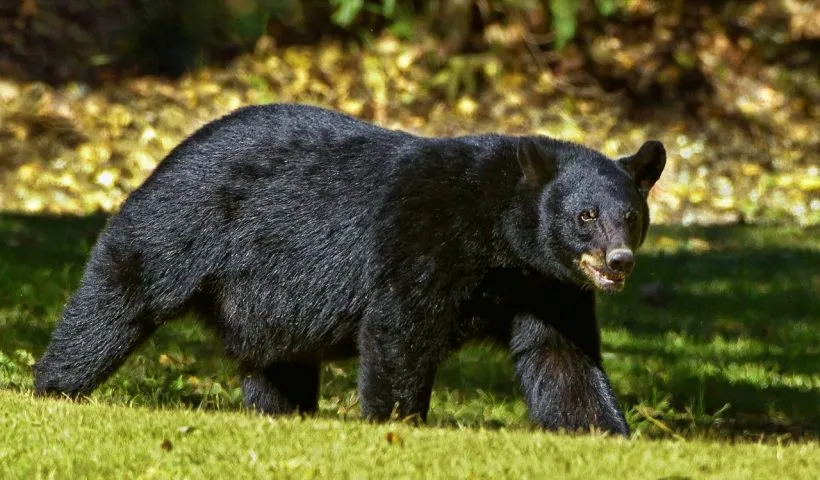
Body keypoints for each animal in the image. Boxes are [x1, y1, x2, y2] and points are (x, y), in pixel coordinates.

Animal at [33, 103, 666, 436]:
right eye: (585, 215)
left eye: (631, 216)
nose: (619, 261)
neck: (499, 237)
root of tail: (171, 150)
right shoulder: (424, 237)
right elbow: (400, 330)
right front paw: (398, 424)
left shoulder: (546, 284)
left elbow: (561, 357)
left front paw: (605, 432)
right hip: (182, 223)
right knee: (120, 295)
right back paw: (54, 386)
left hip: (266, 303)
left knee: (277, 363)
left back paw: (281, 412)